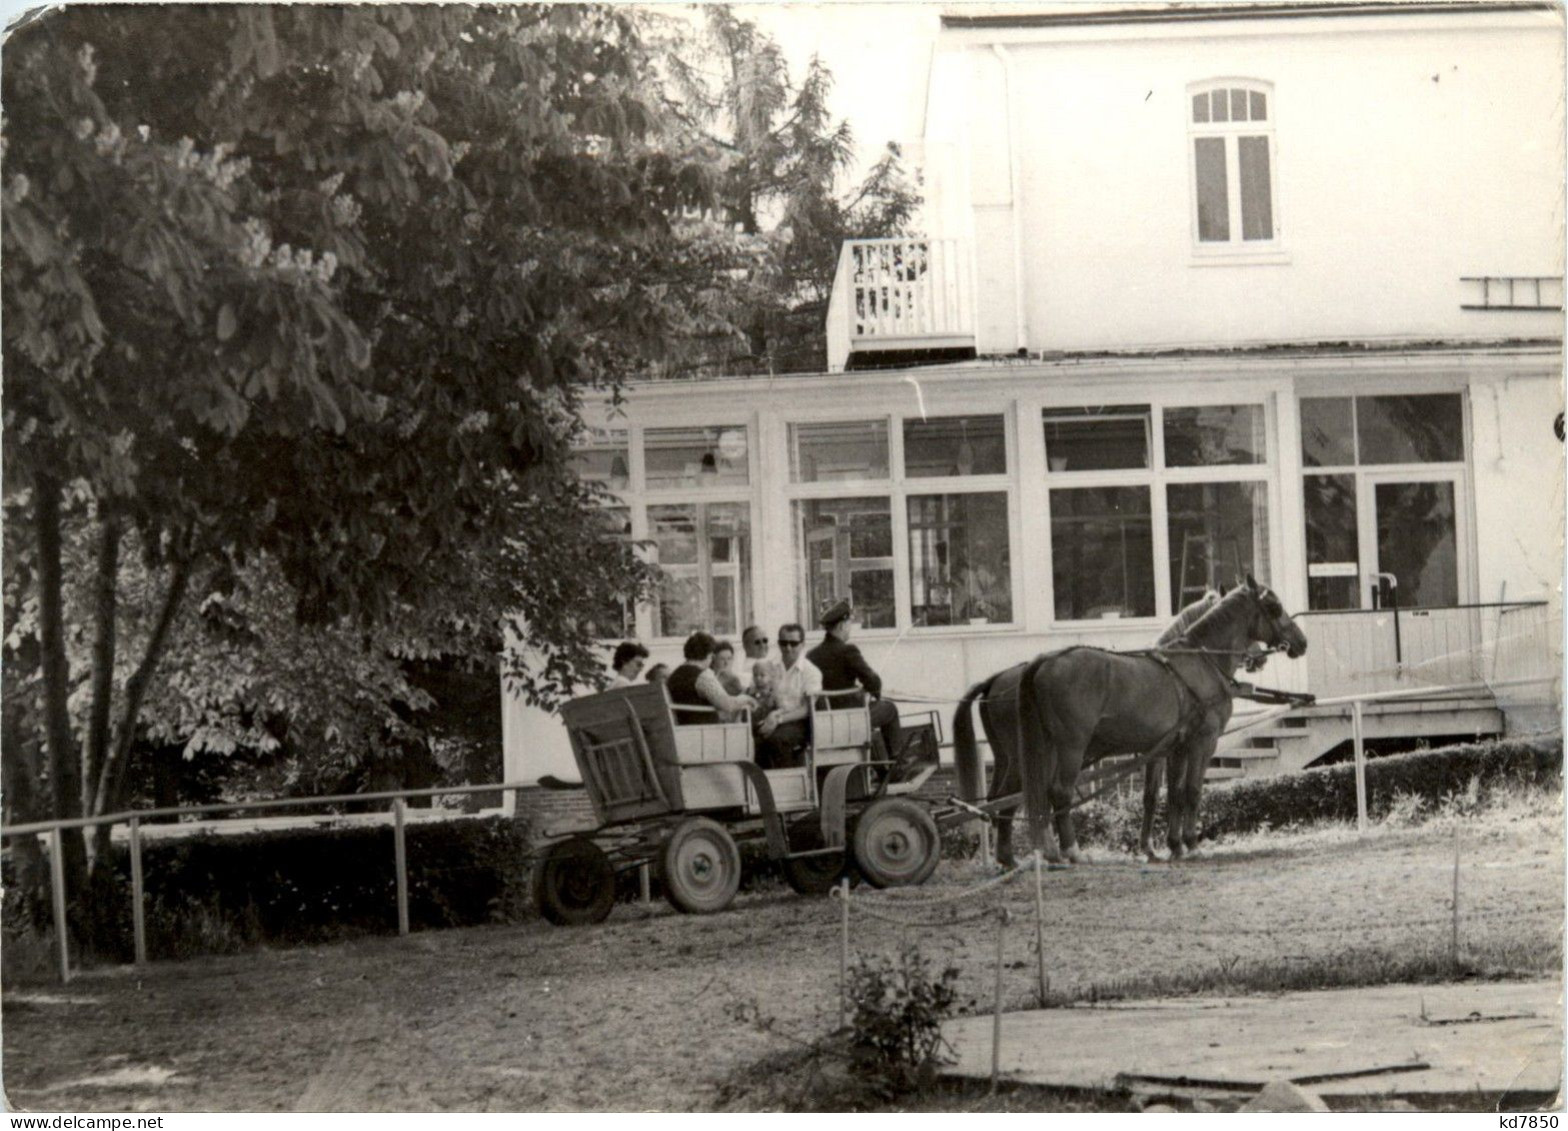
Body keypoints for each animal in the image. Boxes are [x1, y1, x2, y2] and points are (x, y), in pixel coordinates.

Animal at [947, 577, 1304, 859]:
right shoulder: (1202, 742)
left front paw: (1171, 845)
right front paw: (1190, 843)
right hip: (1065, 748)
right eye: (1274, 606)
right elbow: (1191, 791)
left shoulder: (1173, 747)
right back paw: (1069, 851)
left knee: (1009, 800)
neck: (1199, 660)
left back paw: (1016, 857)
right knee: (1053, 794)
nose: (1301, 642)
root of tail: (1041, 662)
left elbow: (1168, 795)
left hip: (1028, 753)